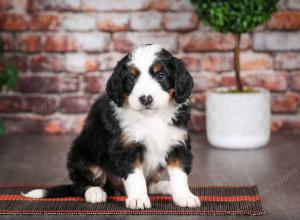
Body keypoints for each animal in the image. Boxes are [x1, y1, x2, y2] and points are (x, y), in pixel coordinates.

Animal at [23, 43, 200, 209]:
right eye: (131, 78)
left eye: (160, 75)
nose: (146, 99)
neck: (151, 116)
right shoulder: (126, 147)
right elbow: (135, 177)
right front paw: (138, 199)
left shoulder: (178, 143)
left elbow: (179, 174)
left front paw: (185, 196)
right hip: (82, 156)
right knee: (80, 185)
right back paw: (95, 192)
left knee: (150, 185)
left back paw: (165, 186)